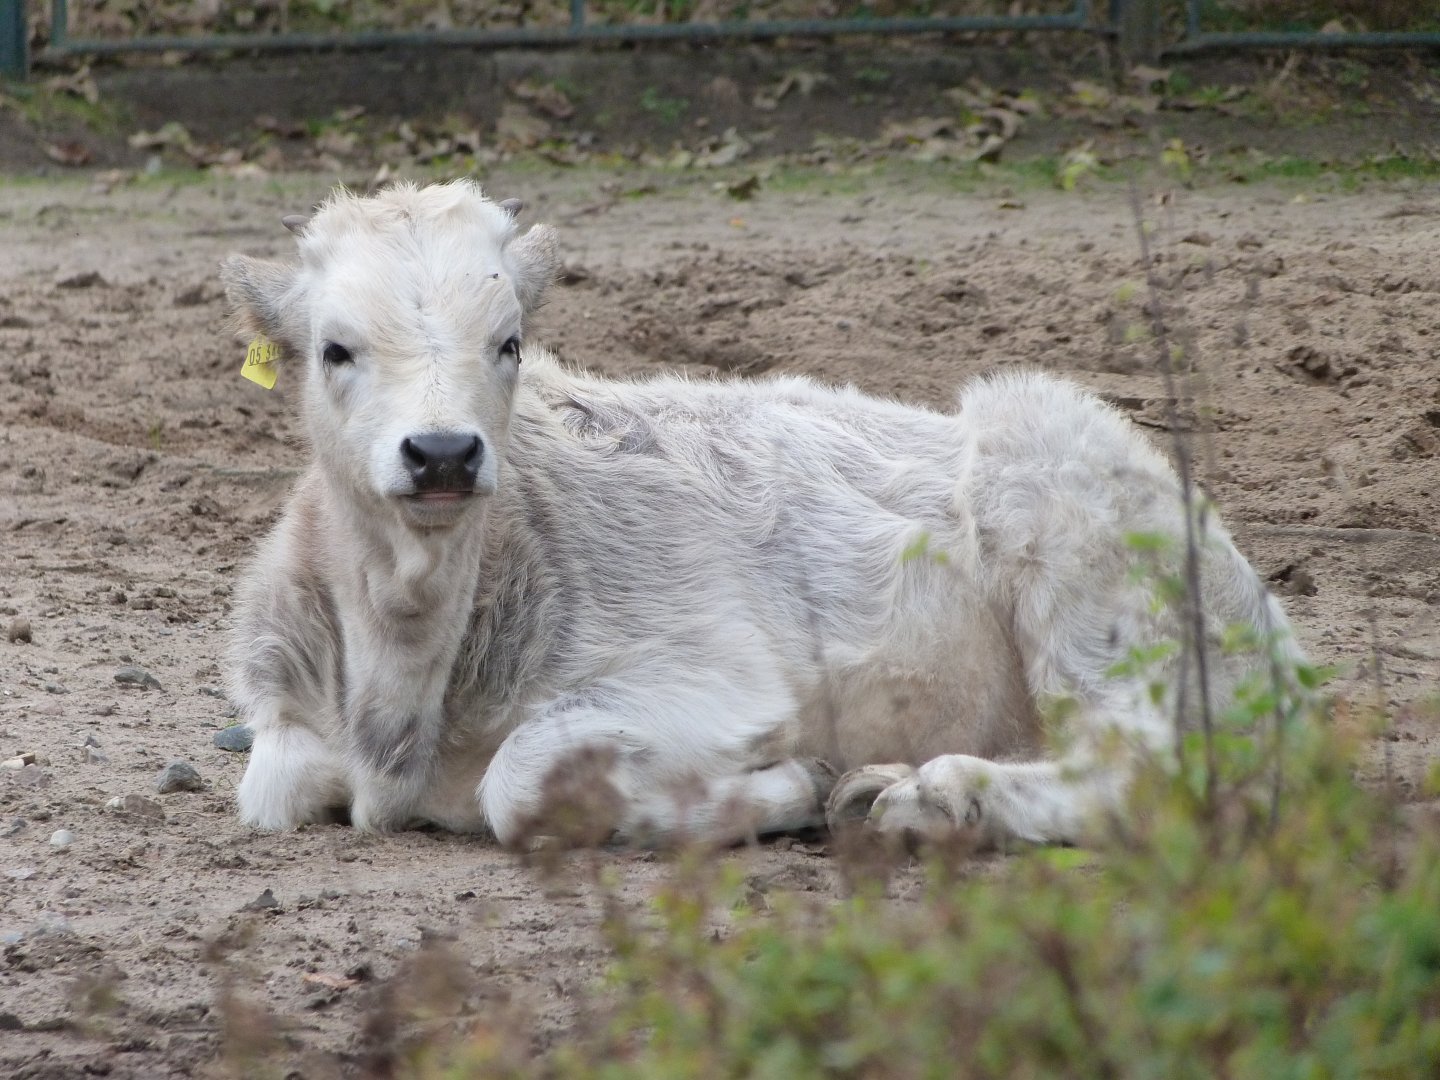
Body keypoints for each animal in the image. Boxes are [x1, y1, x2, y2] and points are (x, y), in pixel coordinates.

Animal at [221, 179, 1301, 851]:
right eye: (335, 349)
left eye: (510, 342)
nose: (442, 453)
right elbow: (273, 784)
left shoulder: (721, 682)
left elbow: (522, 781)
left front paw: (788, 790)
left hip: (1081, 552)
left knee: (1158, 770)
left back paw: (928, 798)